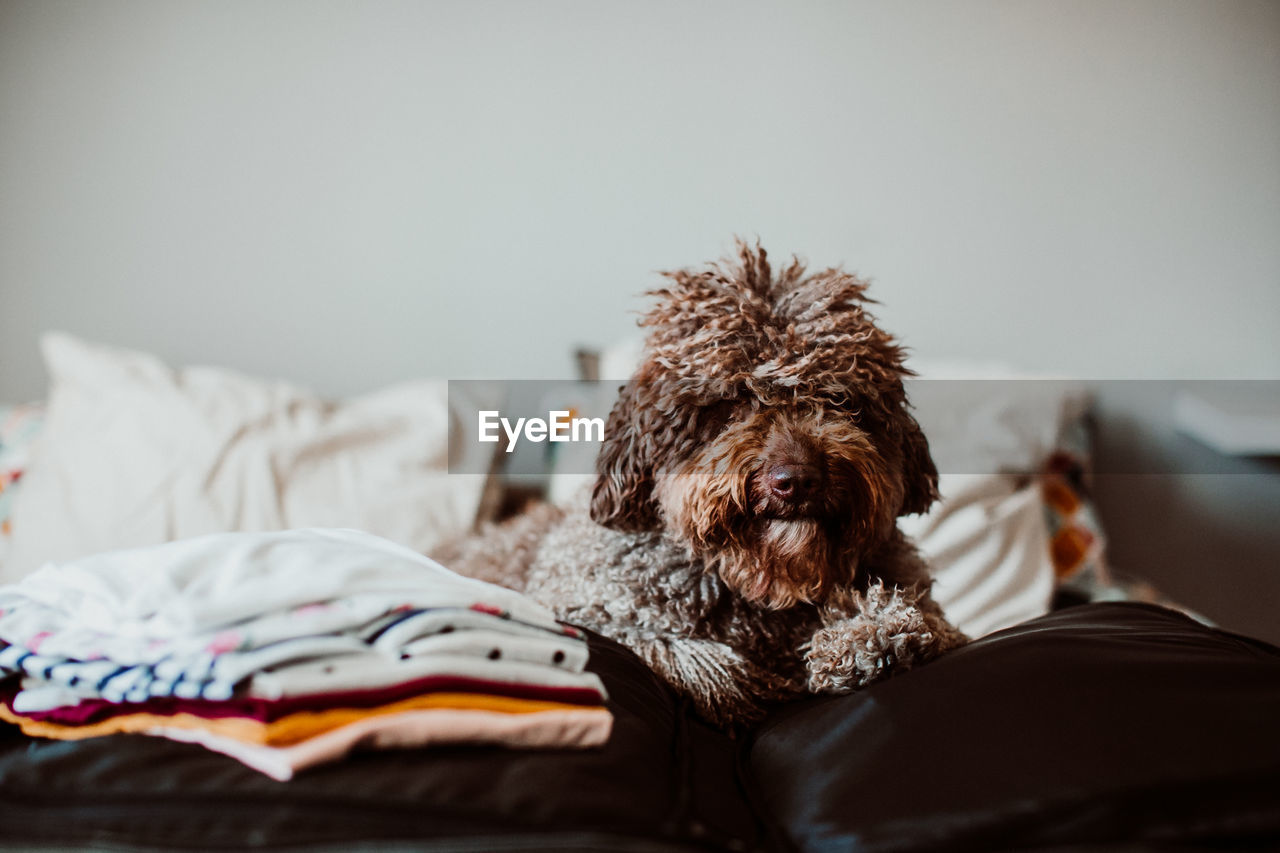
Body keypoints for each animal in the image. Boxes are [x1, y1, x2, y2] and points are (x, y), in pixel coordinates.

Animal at [435, 240, 962, 722]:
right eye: (730, 403)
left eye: (839, 399)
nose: (796, 480)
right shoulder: (595, 610)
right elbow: (694, 659)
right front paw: (768, 679)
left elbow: (923, 621)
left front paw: (870, 636)